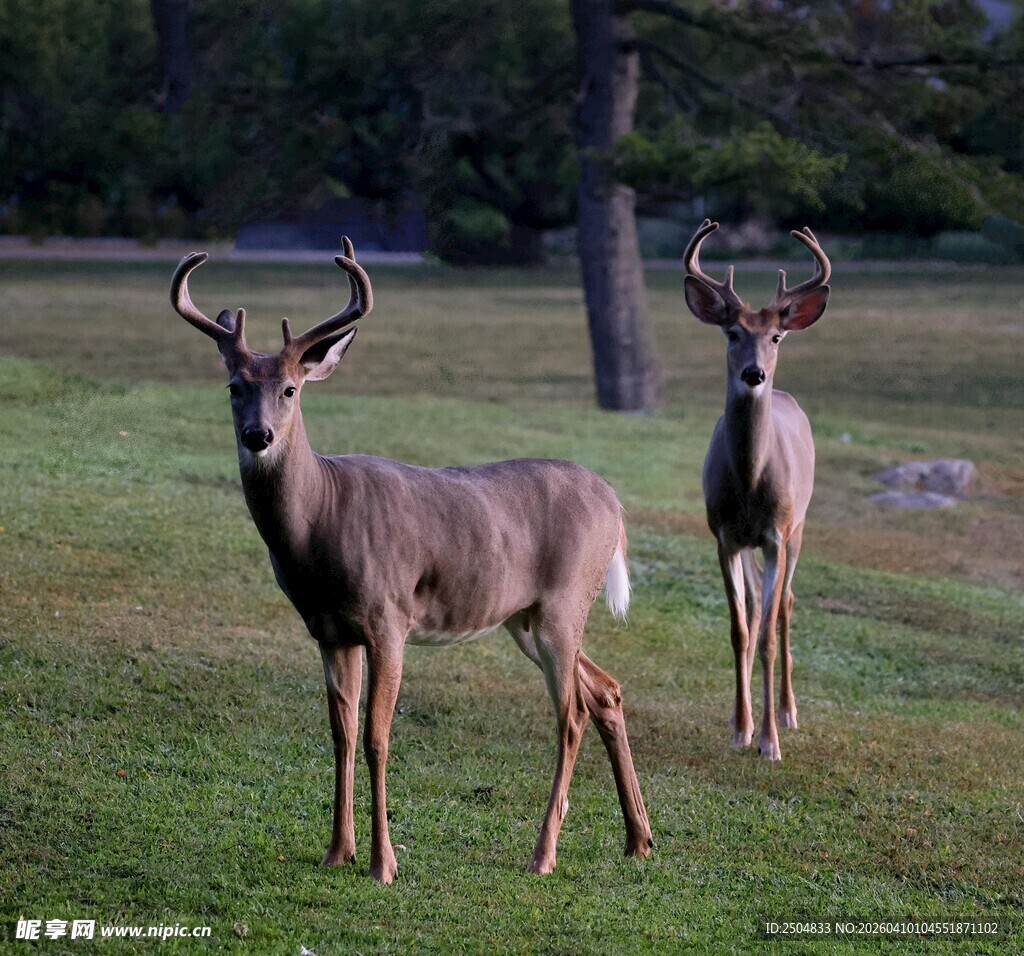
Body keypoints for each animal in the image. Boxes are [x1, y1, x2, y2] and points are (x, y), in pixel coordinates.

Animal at [168, 240, 653, 883]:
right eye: (233, 386)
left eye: (291, 389)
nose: (258, 436)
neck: (321, 520)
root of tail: (615, 503)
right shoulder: (329, 631)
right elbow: (341, 734)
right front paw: (337, 850)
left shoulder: (388, 618)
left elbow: (378, 736)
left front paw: (382, 863)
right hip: (523, 618)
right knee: (606, 691)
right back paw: (639, 839)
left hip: (564, 602)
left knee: (571, 713)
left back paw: (543, 854)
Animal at [682, 219, 831, 762]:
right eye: (732, 332)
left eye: (776, 336)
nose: (754, 373)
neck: (749, 482)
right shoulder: (724, 536)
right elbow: (739, 629)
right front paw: (741, 727)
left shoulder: (775, 534)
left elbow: (765, 634)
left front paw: (769, 740)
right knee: (753, 606)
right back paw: (741, 714)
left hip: (800, 528)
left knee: (785, 604)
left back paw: (787, 711)